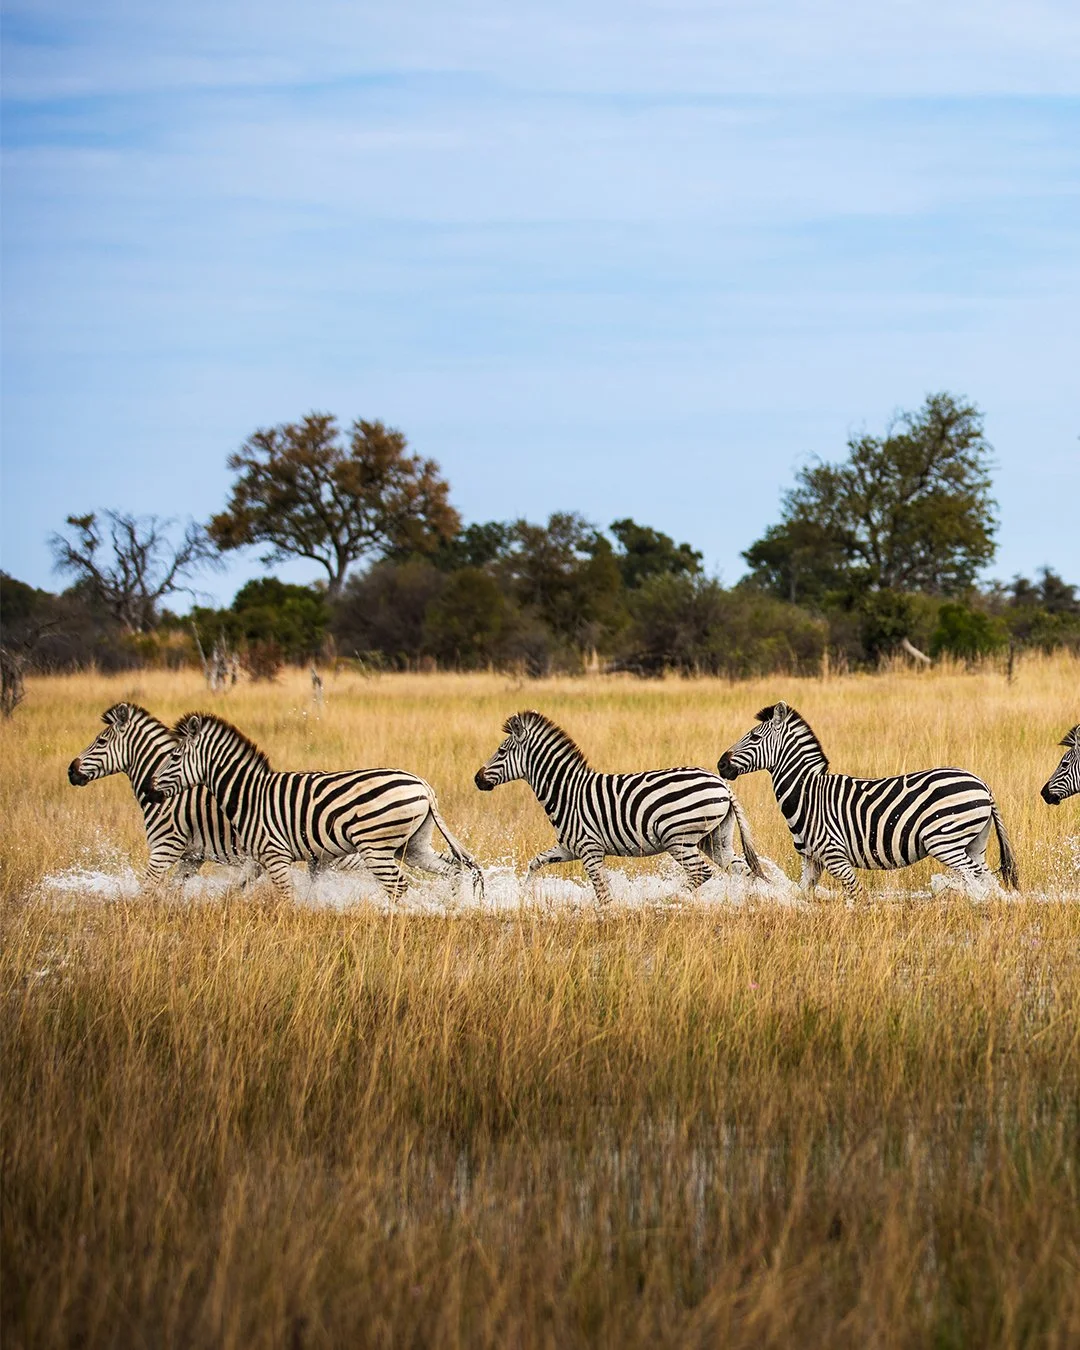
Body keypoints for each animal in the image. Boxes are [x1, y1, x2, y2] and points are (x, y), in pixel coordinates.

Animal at [149, 712, 484, 901]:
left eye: (174, 757)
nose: (151, 788)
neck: (248, 794)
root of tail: (423, 786)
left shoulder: (275, 853)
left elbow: (286, 896)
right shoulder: (260, 857)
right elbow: (236, 887)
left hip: (375, 846)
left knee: (398, 887)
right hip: (412, 846)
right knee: (452, 870)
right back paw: (453, 907)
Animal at [473, 710, 766, 904]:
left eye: (501, 752)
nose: (477, 779)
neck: (565, 791)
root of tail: (721, 783)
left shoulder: (589, 849)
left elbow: (602, 892)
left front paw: (607, 918)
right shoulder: (569, 848)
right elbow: (535, 863)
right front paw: (524, 895)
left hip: (677, 838)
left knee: (700, 872)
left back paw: (666, 900)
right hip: (715, 840)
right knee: (744, 870)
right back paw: (750, 901)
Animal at [717, 701, 1019, 899]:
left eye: (754, 736)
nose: (721, 764)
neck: (807, 794)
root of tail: (982, 785)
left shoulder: (835, 856)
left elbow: (857, 896)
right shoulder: (811, 860)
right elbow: (802, 896)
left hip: (946, 842)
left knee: (980, 878)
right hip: (973, 843)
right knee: (986, 877)